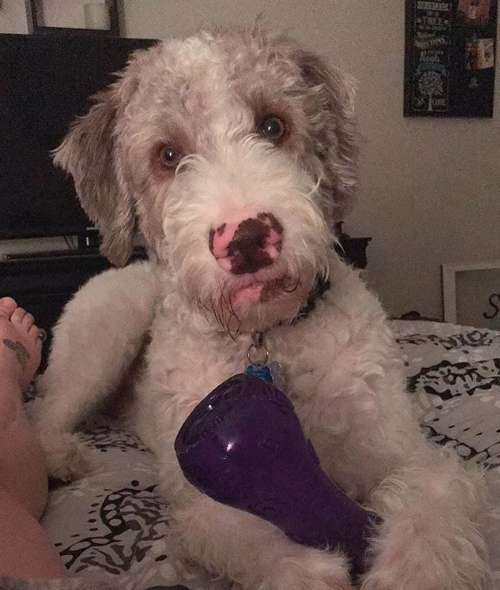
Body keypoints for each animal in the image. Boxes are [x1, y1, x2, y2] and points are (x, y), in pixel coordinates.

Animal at [35, 27, 493, 589]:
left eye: (273, 125)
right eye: (168, 154)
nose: (248, 238)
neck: (268, 338)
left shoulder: (402, 450)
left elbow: (428, 505)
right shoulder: (206, 496)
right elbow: (247, 533)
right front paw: (311, 570)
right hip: (104, 335)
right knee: (45, 407)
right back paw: (62, 457)